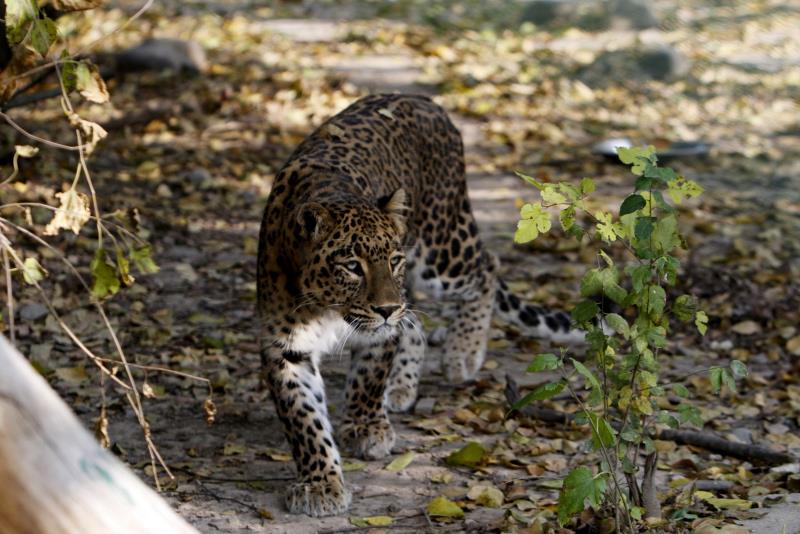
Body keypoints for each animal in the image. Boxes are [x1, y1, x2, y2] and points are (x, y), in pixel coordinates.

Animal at [256, 93, 584, 517]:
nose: (384, 308)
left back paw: (462, 354)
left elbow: (369, 379)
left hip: (440, 251)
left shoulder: (381, 326)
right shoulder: (285, 347)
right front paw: (321, 483)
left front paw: (367, 428)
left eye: (393, 260)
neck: (329, 307)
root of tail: (423, 100)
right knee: (416, 318)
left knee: (486, 269)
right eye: (352, 266)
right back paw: (403, 385)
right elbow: (304, 420)